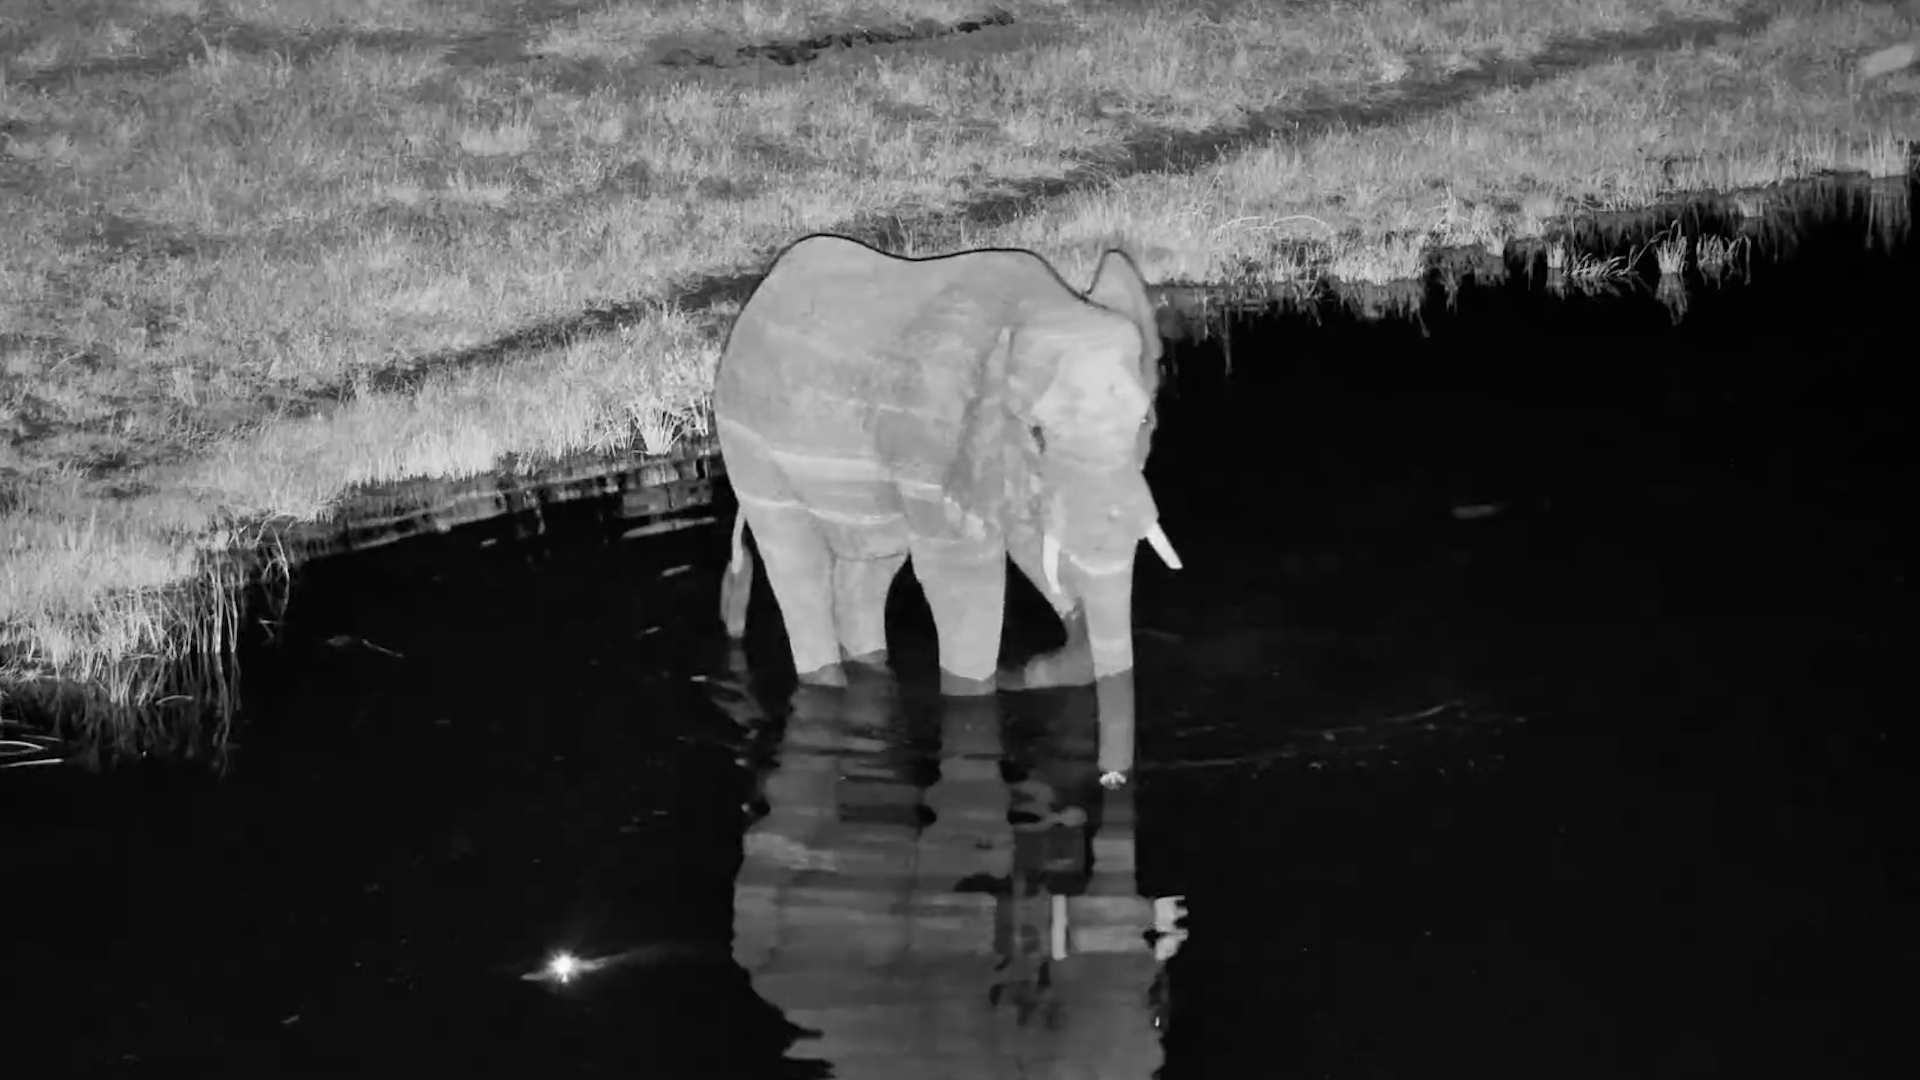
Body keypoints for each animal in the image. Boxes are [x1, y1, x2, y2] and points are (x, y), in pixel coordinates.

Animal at [712, 233, 1181, 776]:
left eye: (1145, 420)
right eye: (1037, 434)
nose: (1112, 779)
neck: (1042, 307)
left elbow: (1031, 542)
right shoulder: (932, 453)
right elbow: (962, 581)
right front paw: (979, 689)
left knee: (868, 569)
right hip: (747, 445)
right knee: (797, 567)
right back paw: (827, 682)